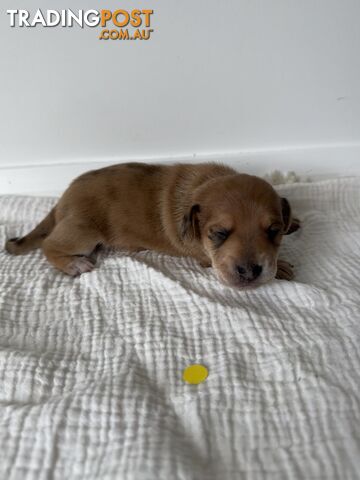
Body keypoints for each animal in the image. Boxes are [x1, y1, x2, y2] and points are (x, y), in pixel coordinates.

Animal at [4, 163, 300, 286]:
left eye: (273, 231)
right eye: (218, 233)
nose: (250, 272)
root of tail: (62, 200)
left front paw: (293, 222)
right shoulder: (205, 257)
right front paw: (283, 266)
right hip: (83, 232)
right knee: (49, 245)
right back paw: (73, 264)